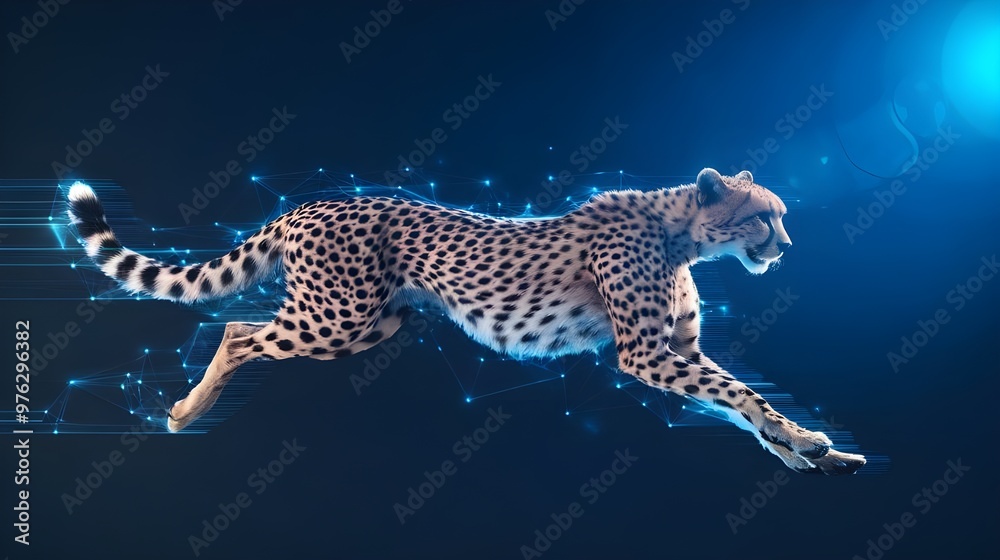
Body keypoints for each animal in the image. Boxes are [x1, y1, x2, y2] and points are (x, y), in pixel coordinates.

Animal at [66, 168, 866, 474]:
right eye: (763, 217)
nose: (786, 247)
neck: (683, 233)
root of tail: (308, 204)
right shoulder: (643, 354)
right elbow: (740, 394)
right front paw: (805, 442)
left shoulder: (678, 352)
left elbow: (737, 403)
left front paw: (804, 452)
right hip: (336, 318)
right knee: (238, 332)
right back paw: (184, 411)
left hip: (377, 322)